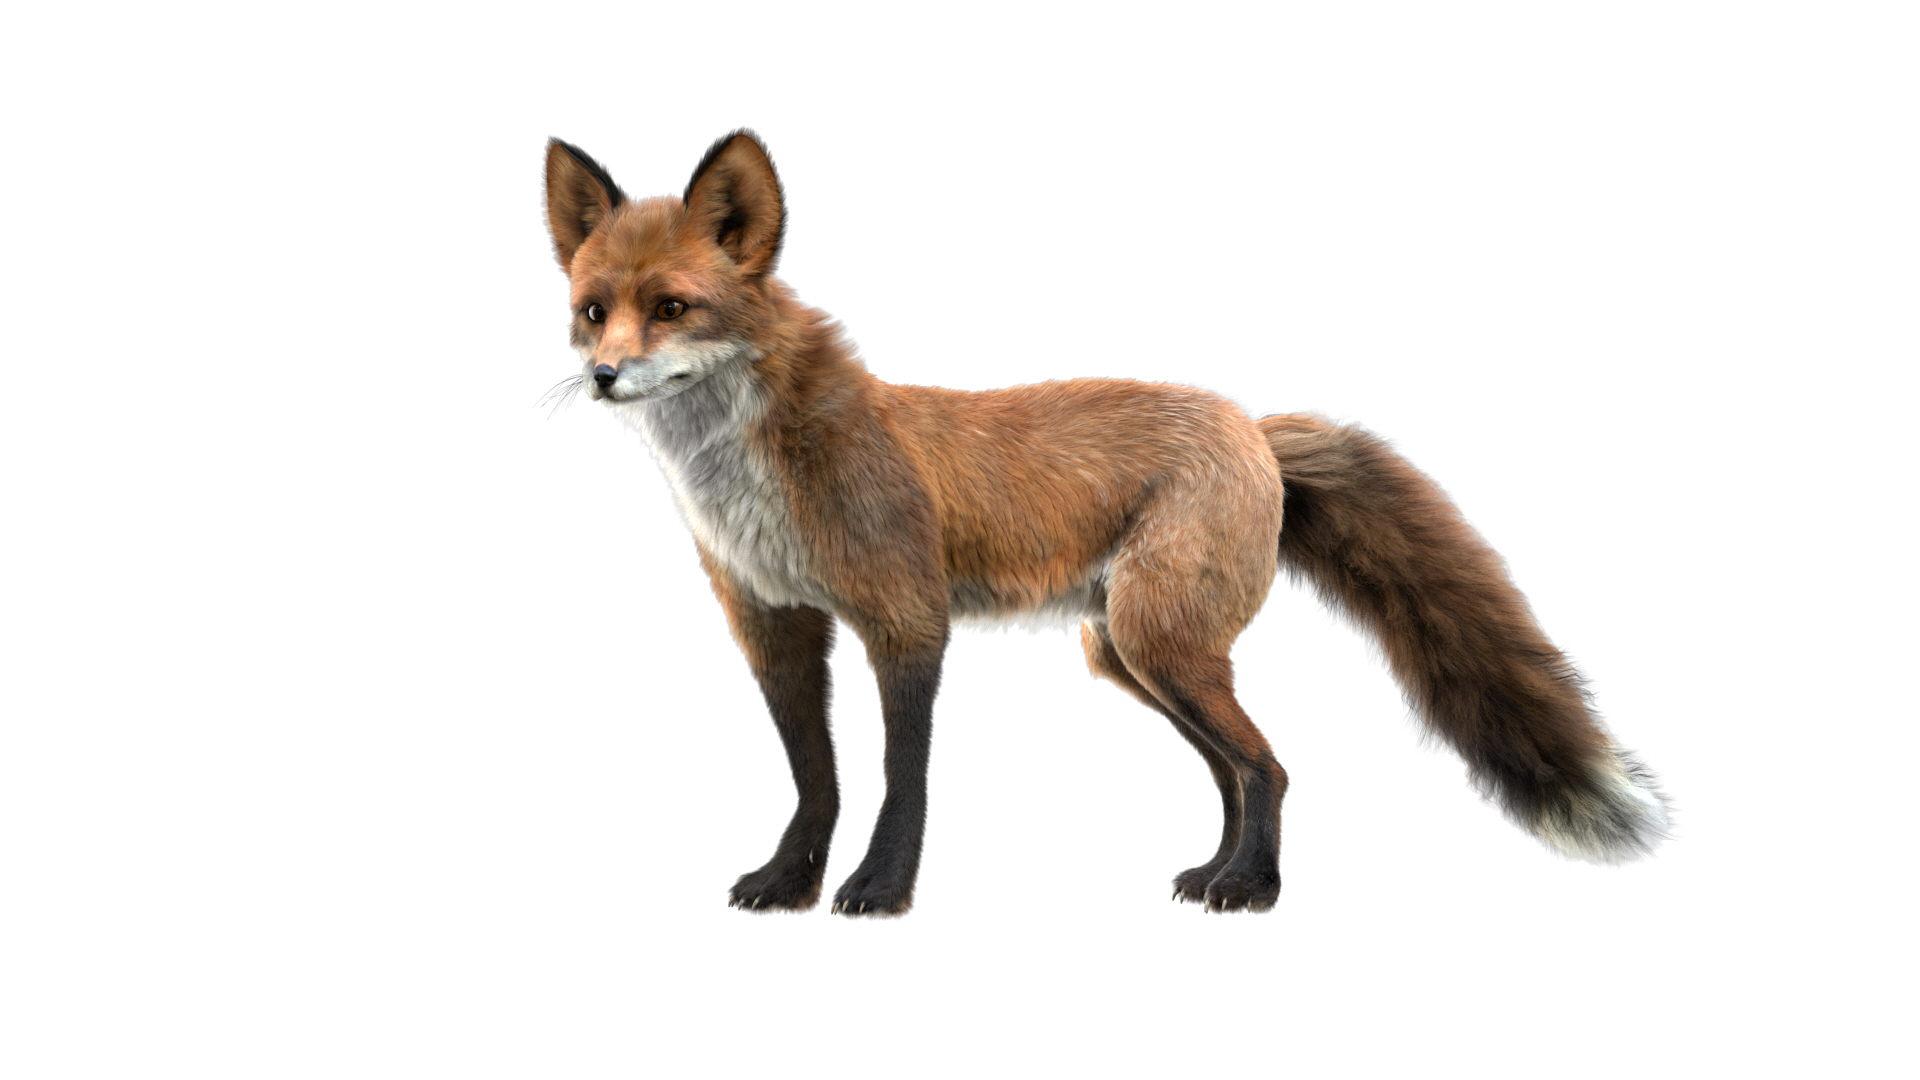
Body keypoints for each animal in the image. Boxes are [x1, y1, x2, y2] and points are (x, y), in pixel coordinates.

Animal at [541, 130, 1670, 917]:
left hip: (1157, 639)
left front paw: (881, 889)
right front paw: (790, 884)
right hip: (1128, 652)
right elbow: (812, 777)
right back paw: (1218, 872)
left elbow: (900, 775)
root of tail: (1251, 426)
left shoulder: (906, 619)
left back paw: (1252, 892)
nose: (603, 377)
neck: (751, 476)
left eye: (673, 307)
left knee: (1268, 765)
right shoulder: (774, 625)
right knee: (1239, 770)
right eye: (593, 311)